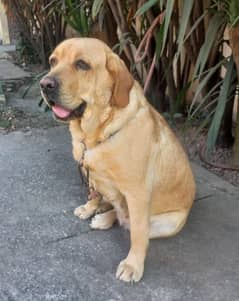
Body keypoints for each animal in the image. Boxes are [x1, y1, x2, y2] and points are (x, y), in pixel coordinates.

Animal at [39, 37, 196, 282]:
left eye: (82, 64)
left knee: (130, 223)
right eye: (53, 61)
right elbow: (94, 194)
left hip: (169, 222)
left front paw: (133, 265)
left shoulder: (137, 194)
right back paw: (103, 216)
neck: (96, 134)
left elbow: (138, 234)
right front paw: (90, 207)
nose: (44, 84)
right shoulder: (91, 173)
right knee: (118, 212)